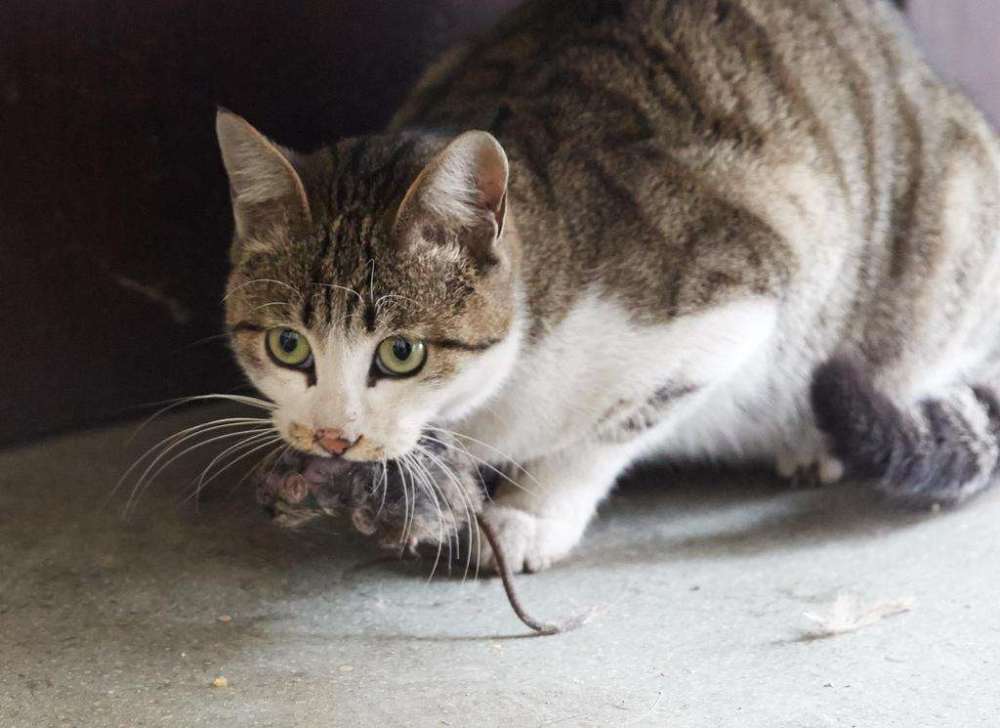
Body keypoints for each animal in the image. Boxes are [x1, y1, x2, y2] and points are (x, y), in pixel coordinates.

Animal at [215, 0, 1000, 576]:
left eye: (401, 353)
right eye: (289, 345)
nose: (332, 435)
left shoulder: (742, 290)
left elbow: (606, 434)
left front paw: (529, 515)